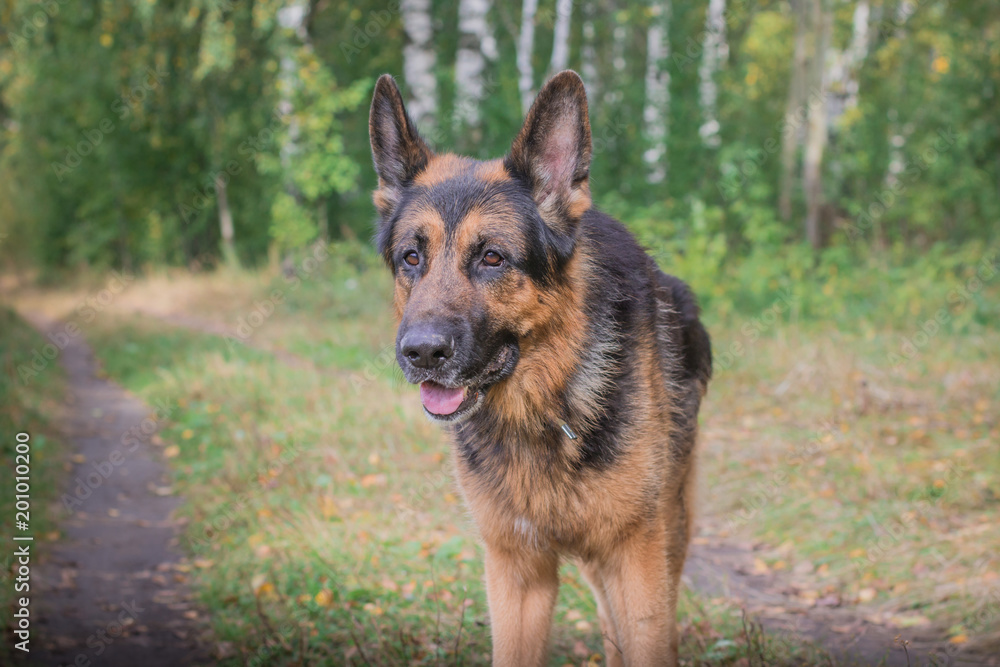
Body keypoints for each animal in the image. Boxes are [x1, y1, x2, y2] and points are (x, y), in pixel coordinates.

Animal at [370, 70, 712, 664]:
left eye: (492, 258)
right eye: (412, 257)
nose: (422, 353)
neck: (546, 401)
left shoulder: (637, 561)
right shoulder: (517, 576)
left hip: (666, 536)